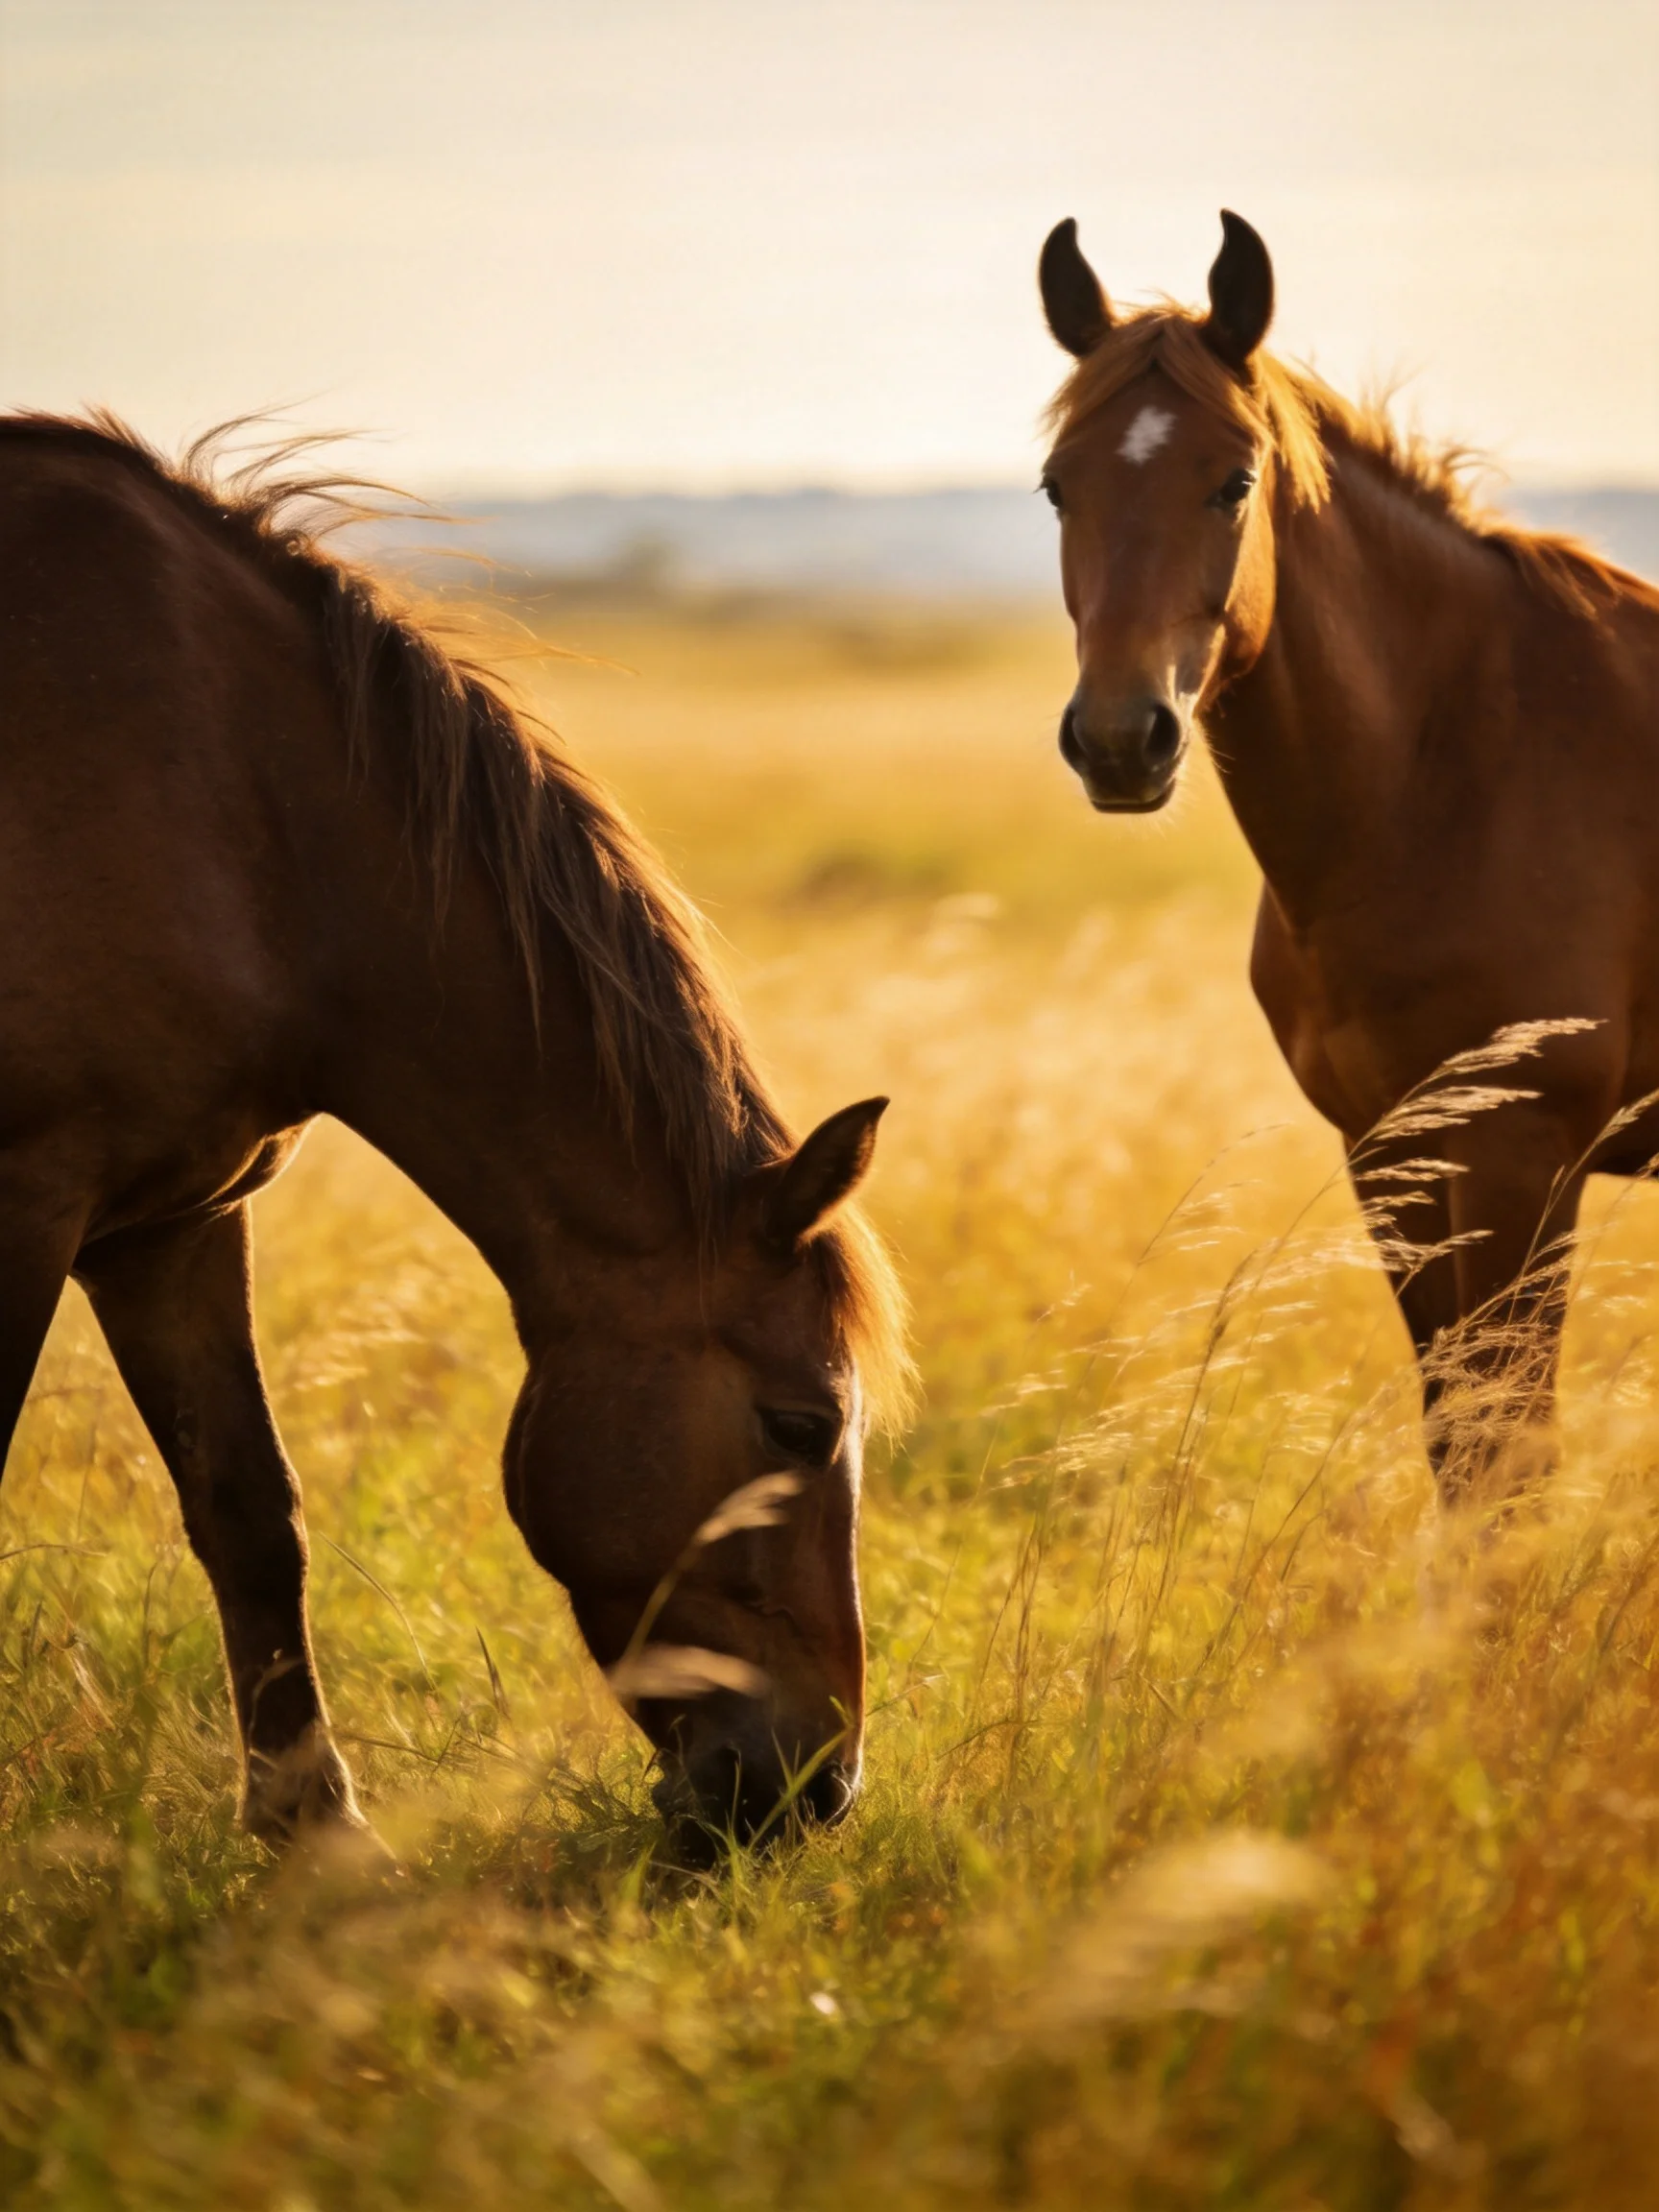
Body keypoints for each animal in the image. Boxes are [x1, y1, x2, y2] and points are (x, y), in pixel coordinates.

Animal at [0, 412, 907, 1846]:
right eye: (801, 1427)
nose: (818, 1791)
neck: (237, 812)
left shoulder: (172, 1219)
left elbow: (250, 1511)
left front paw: (319, 1837)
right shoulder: (26, 1200)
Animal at [1035, 212, 1659, 1499]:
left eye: (1234, 481)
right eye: (1058, 485)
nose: (1121, 739)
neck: (1456, 768)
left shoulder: (1526, 1158)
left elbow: (1507, 1453)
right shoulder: (1394, 1158)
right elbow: (1461, 1445)